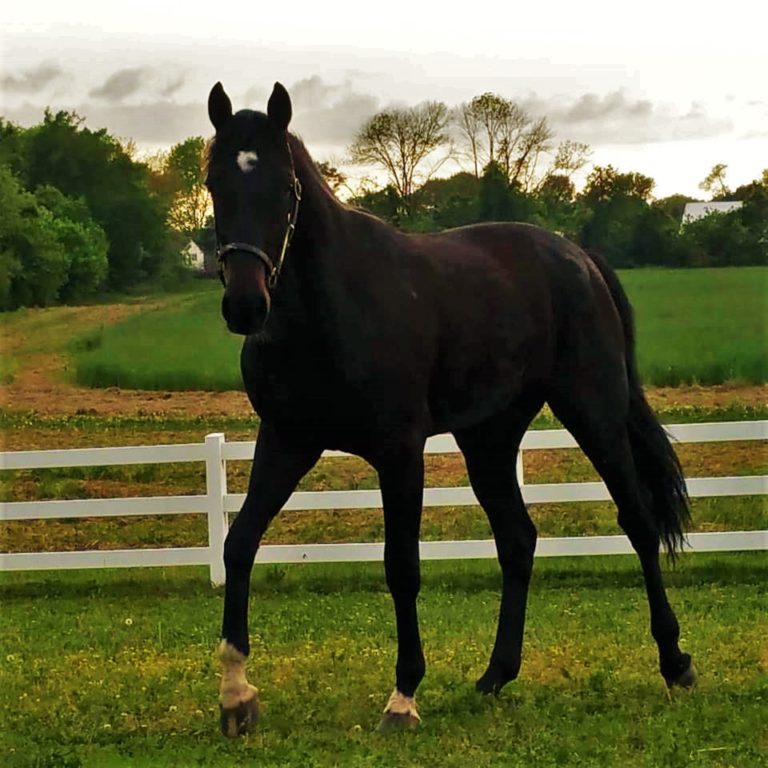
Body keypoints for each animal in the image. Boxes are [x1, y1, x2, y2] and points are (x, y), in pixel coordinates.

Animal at [205, 81, 697, 737]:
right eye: (214, 182)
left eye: (286, 189)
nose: (245, 305)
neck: (330, 309)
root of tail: (579, 257)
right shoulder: (287, 440)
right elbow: (239, 544)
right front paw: (237, 696)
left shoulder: (398, 451)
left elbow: (401, 566)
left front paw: (403, 696)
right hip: (489, 438)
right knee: (517, 539)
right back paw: (495, 676)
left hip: (594, 411)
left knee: (638, 521)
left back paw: (675, 662)